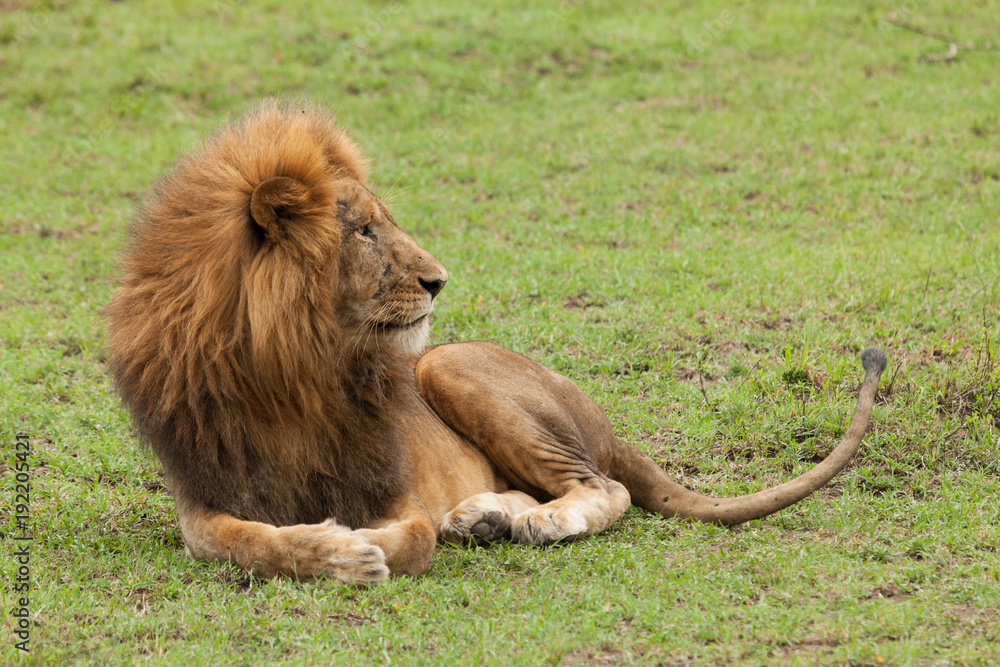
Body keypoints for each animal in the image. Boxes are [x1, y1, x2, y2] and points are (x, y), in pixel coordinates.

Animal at [106, 101, 887, 583]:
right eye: (364, 231)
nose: (438, 279)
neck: (290, 374)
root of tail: (607, 426)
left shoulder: (392, 486)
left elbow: (412, 534)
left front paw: (358, 550)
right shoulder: (203, 498)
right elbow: (243, 541)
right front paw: (328, 550)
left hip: (448, 364)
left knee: (600, 485)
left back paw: (538, 521)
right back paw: (484, 518)